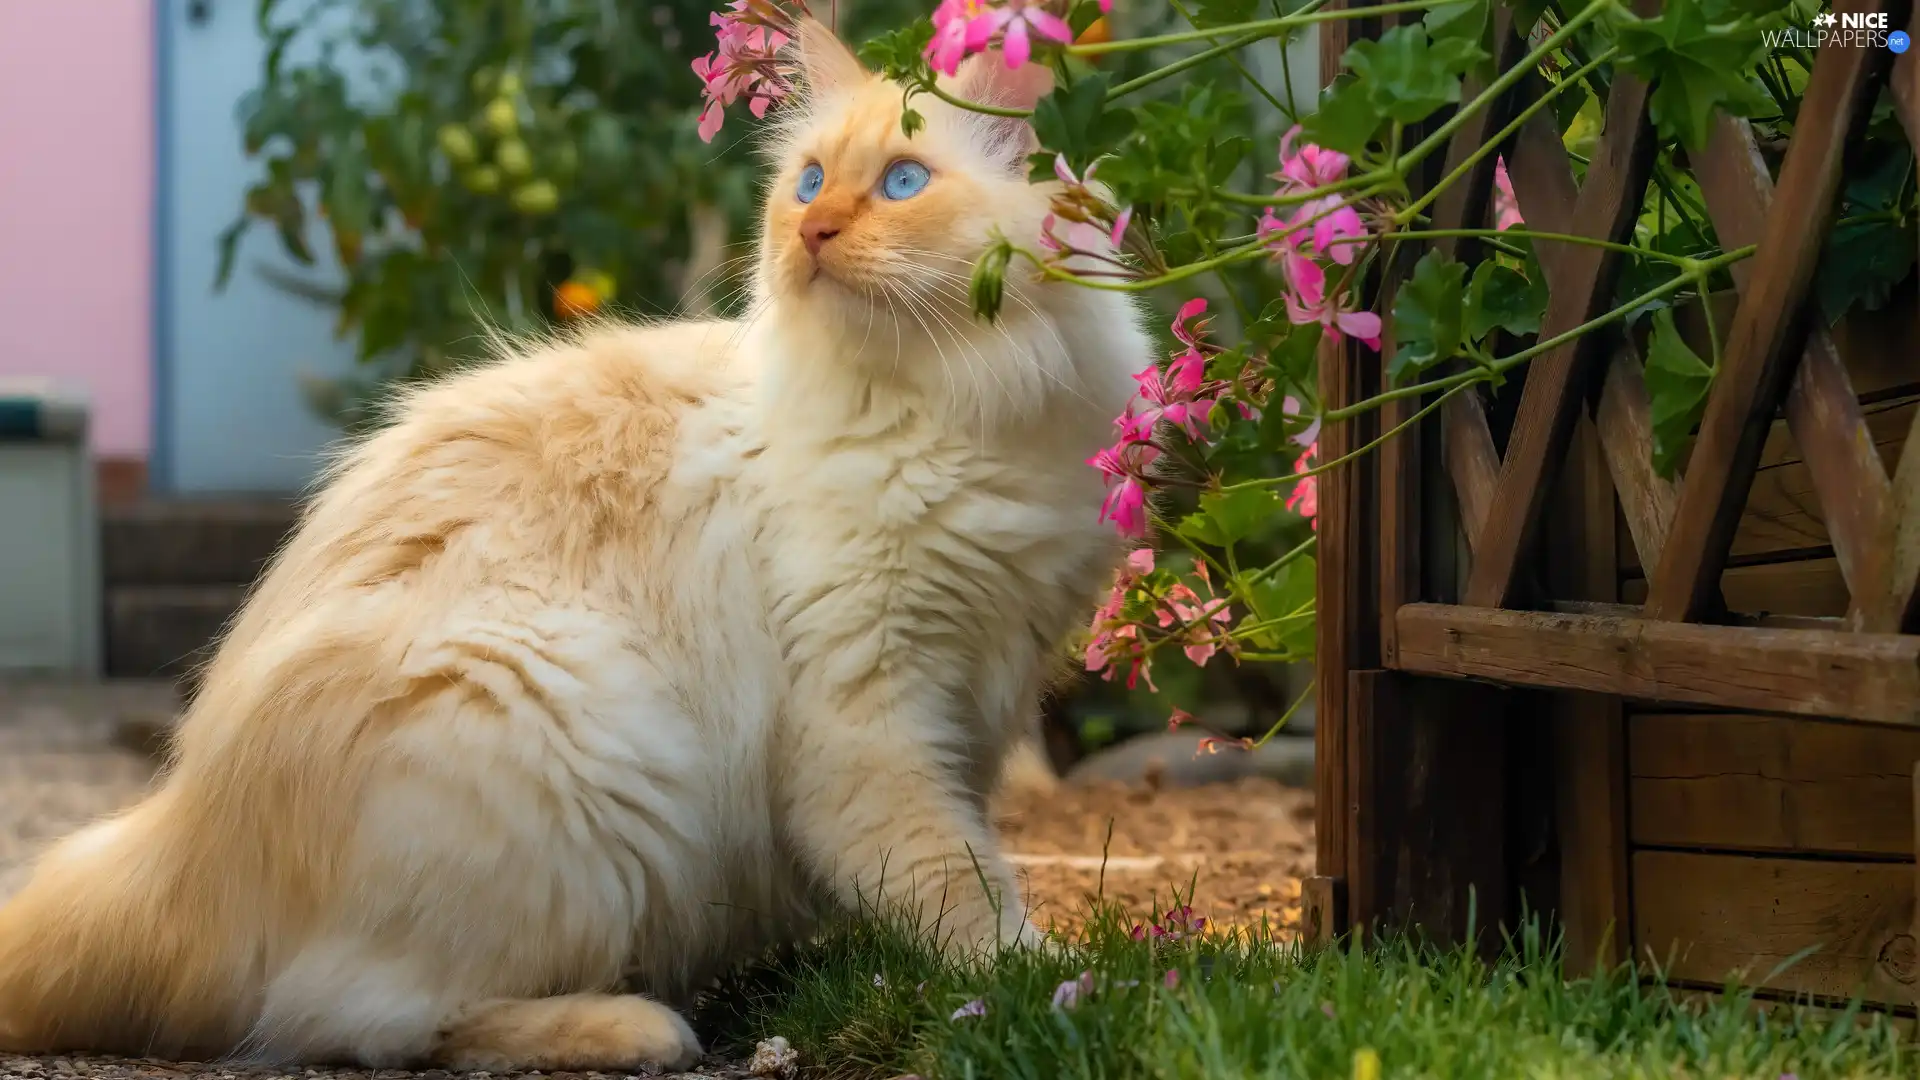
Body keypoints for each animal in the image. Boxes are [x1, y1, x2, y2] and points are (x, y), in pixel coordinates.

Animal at [0, 18, 1136, 1068]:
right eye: (811, 181)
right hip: (561, 723)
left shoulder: (977, 695)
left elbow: (955, 860)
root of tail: (182, 838)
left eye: (902, 182)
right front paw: (1047, 986)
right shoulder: (868, 715)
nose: (812, 231)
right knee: (357, 1019)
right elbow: (956, 885)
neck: (949, 411)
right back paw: (641, 1025)